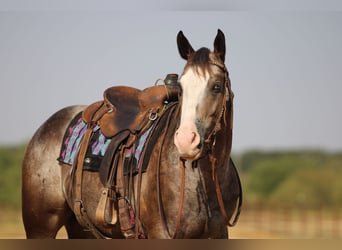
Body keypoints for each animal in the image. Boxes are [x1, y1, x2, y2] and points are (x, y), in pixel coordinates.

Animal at [21, 29, 242, 238]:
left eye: (216, 86)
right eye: (180, 89)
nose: (186, 141)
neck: (201, 179)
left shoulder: (218, 234)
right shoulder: (161, 233)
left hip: (81, 228)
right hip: (40, 227)